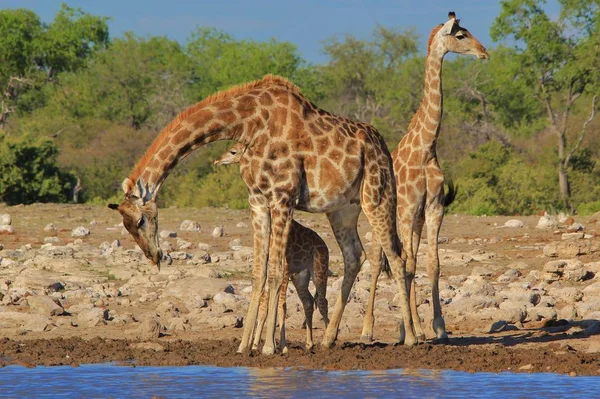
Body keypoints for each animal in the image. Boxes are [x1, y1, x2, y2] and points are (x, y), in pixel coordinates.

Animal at [214, 142, 328, 352]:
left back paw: (329, 339)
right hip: (300, 276)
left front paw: (278, 346)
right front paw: (256, 345)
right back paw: (309, 343)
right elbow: (266, 304)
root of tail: (324, 245)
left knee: (322, 300)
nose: (218, 160)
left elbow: (281, 304)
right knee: (308, 301)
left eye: (233, 151)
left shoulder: (285, 267)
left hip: (318, 270)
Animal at [360, 12, 488, 344]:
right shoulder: (406, 211)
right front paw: (408, 330)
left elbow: (431, 265)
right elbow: (403, 265)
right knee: (378, 263)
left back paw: (413, 326)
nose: (484, 52)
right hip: (382, 219)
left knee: (409, 261)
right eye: (461, 36)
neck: (427, 148)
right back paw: (367, 329)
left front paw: (437, 327)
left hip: (412, 223)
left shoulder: (433, 209)